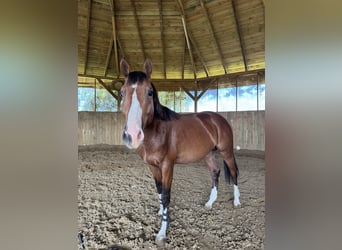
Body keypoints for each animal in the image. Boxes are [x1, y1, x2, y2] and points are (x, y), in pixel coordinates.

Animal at [120, 58, 240, 246]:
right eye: (121, 93)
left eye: (149, 93)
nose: (132, 135)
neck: (158, 130)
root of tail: (218, 119)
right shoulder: (152, 166)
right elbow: (159, 191)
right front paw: (161, 212)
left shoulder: (168, 166)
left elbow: (166, 195)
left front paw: (162, 233)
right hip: (208, 154)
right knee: (215, 172)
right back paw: (210, 203)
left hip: (226, 151)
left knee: (233, 172)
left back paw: (236, 201)